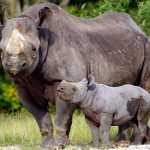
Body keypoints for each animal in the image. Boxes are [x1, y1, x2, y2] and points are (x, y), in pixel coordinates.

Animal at [0, 1, 150, 147]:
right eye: (1, 50)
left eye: (34, 49)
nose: (13, 66)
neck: (43, 37)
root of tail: (138, 28)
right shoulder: (23, 84)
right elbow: (41, 117)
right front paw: (48, 145)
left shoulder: (66, 79)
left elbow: (62, 118)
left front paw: (59, 144)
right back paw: (121, 142)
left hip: (146, 45)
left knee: (143, 88)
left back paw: (131, 142)